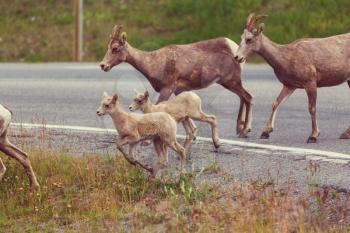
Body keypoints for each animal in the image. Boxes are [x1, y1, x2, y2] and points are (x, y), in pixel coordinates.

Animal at [100, 25, 253, 138]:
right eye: (108, 47)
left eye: (115, 48)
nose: (103, 65)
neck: (154, 62)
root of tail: (235, 50)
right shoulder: (179, 90)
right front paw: (194, 134)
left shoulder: (167, 88)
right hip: (228, 82)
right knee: (243, 97)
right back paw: (239, 130)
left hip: (231, 80)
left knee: (248, 97)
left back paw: (245, 130)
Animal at [235, 13, 350, 143]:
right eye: (241, 37)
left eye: (249, 39)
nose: (237, 57)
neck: (287, 57)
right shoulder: (290, 86)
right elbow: (275, 103)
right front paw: (265, 132)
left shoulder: (310, 83)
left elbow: (312, 108)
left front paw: (313, 136)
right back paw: (345, 134)